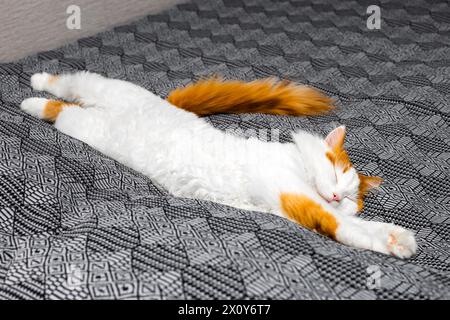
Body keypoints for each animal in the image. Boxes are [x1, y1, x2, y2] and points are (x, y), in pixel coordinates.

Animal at [19, 72, 416, 258]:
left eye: (349, 196)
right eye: (334, 172)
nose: (335, 195)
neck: (298, 164)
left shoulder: (295, 204)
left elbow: (352, 225)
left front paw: (392, 239)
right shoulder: (290, 189)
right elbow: (337, 222)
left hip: (93, 121)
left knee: (67, 101)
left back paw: (33, 96)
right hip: (96, 109)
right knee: (66, 90)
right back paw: (33, 93)